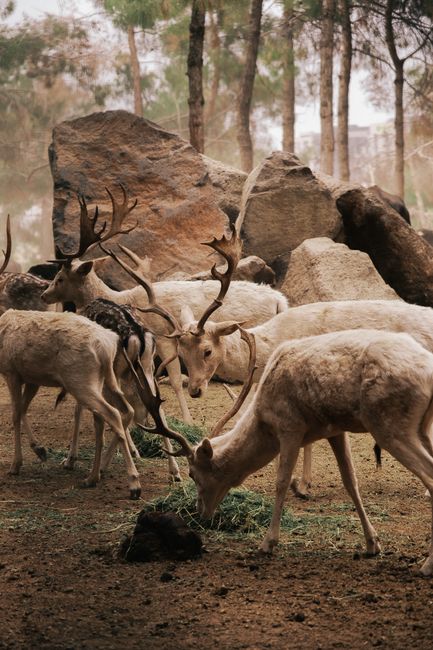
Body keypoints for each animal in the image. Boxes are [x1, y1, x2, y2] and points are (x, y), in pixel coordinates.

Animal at [40, 186, 288, 424]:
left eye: (60, 277)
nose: (44, 295)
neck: (123, 299)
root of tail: (279, 300)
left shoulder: (162, 336)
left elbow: (175, 379)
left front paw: (186, 421)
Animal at [148, 328, 433, 577]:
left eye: (193, 474)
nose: (200, 513)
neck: (263, 421)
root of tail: (428, 373)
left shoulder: (290, 427)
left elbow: (282, 481)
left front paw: (267, 543)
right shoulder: (335, 430)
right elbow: (350, 480)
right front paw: (372, 544)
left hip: (390, 424)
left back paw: (426, 566)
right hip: (421, 428)